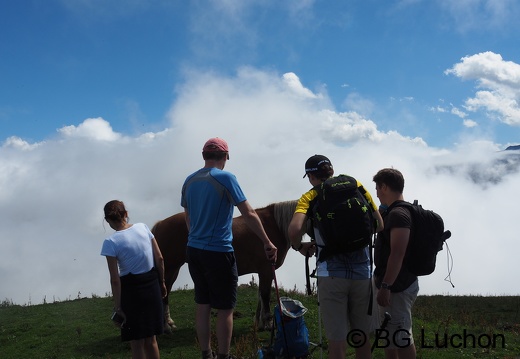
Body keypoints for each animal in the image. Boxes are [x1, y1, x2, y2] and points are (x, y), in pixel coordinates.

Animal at [150, 200, 306, 332]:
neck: (271, 227)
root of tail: (161, 224)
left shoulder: (264, 272)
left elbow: (261, 296)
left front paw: (259, 323)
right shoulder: (267, 270)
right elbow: (265, 295)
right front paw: (267, 323)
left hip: (173, 269)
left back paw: (168, 322)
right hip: (169, 268)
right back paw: (166, 326)